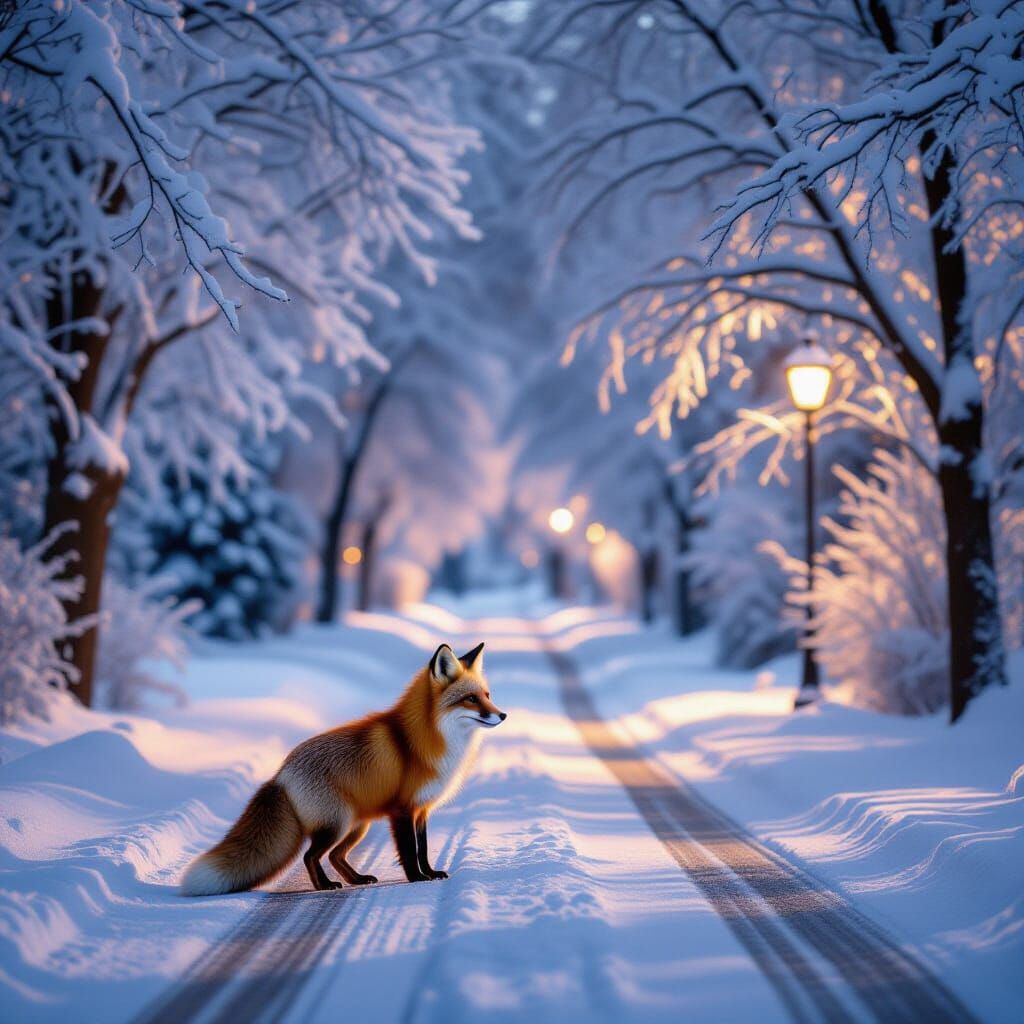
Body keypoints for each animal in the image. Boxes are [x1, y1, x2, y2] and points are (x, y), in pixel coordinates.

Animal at [180, 642, 505, 896]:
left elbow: (422, 849)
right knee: (310, 856)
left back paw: (357, 879)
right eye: (471, 699)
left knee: (336, 856)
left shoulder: (422, 808)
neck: (428, 737)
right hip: (336, 823)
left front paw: (431, 873)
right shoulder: (402, 809)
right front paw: (416, 879)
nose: (502, 715)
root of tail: (281, 773)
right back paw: (323, 885)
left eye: (487, 695)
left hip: (356, 825)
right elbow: (409, 851)